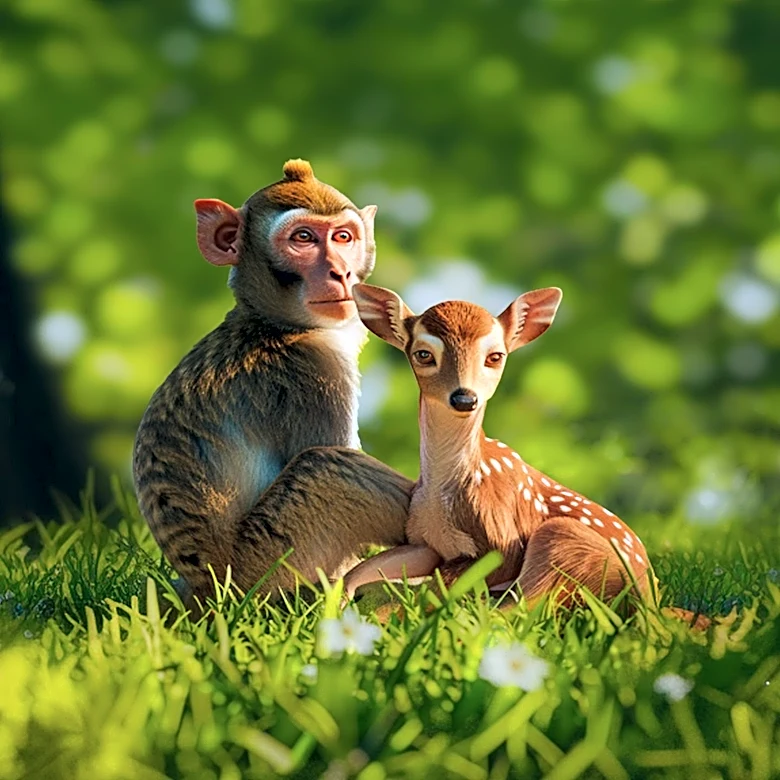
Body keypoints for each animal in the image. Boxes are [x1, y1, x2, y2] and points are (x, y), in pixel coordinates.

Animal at [341, 283, 655, 612]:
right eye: (423, 354)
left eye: (495, 356)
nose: (464, 398)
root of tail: (647, 600)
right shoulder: (424, 541)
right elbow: (360, 571)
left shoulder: (504, 543)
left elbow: (441, 586)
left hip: (564, 541)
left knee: (518, 609)